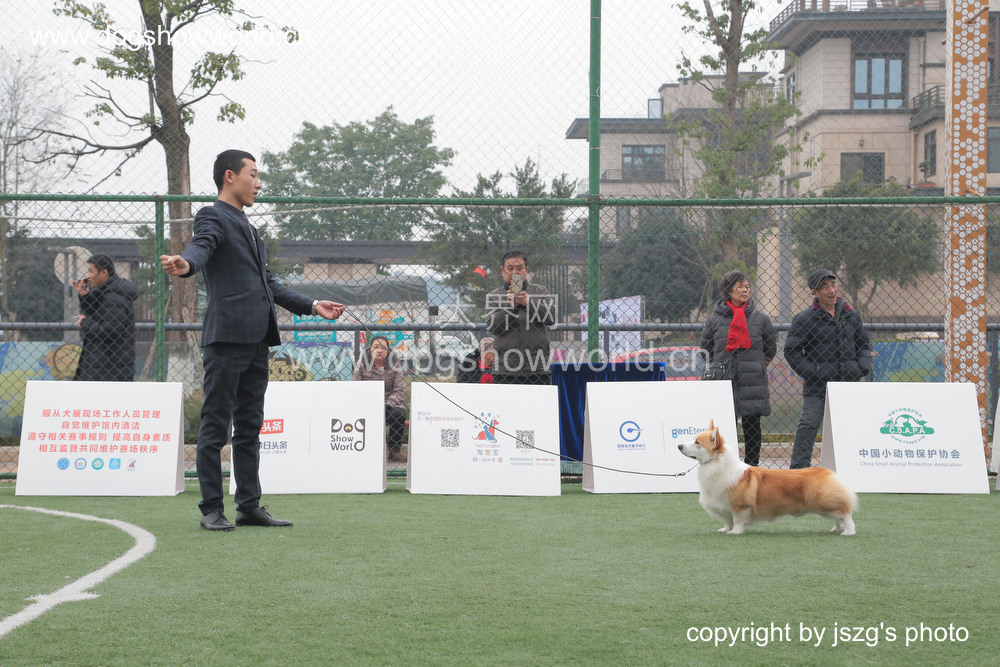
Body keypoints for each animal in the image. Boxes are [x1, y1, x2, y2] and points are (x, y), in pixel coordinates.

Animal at [677, 420, 857, 536]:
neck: (716, 465)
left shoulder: (740, 506)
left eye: (697, 442)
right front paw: (725, 530)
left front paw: (735, 532)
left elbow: (737, 520)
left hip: (823, 501)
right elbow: (727, 520)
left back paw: (848, 531)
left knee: (846, 514)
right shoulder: (723, 506)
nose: (679, 446)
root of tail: (826, 471)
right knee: (838, 518)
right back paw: (836, 529)